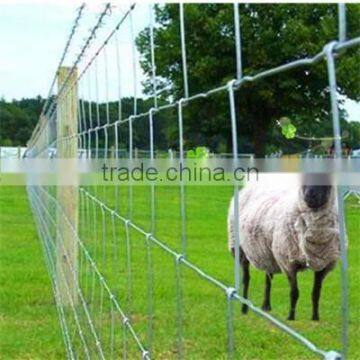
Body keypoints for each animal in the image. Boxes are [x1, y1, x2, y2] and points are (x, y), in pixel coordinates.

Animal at [228, 175, 340, 320]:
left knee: (268, 277)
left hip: (267, 252)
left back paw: (266, 306)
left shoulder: (324, 264)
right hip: (240, 248)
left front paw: (315, 318)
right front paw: (291, 317)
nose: (310, 195)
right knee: (246, 279)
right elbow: (294, 292)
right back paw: (244, 307)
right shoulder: (288, 263)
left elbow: (316, 293)